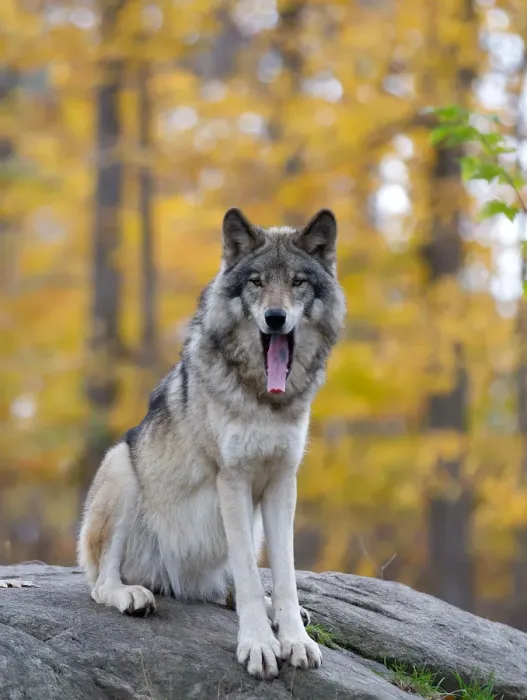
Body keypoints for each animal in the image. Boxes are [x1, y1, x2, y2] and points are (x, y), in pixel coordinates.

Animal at [78, 207, 345, 680]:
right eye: (256, 281)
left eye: (298, 282)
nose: (275, 317)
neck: (264, 401)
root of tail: (179, 584)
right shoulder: (232, 479)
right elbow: (251, 578)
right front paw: (259, 646)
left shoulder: (282, 482)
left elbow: (285, 577)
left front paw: (295, 640)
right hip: (120, 467)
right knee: (100, 584)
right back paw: (132, 595)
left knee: (231, 590)